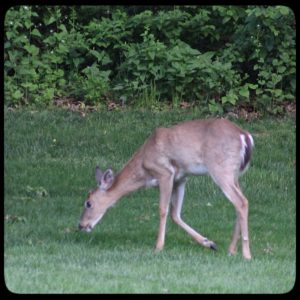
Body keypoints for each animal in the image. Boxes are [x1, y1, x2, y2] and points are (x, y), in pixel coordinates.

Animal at [78, 118, 254, 258]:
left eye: (88, 203)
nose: (81, 225)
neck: (143, 167)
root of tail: (245, 136)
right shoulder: (181, 179)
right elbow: (175, 214)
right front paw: (209, 243)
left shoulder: (165, 173)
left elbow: (163, 210)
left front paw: (158, 247)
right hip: (234, 174)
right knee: (240, 202)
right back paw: (231, 250)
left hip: (221, 169)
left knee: (241, 201)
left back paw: (246, 254)